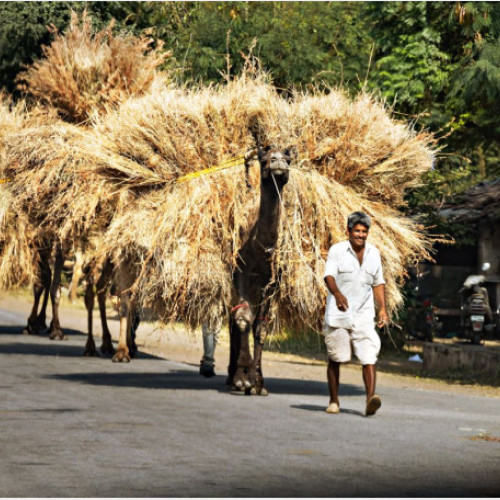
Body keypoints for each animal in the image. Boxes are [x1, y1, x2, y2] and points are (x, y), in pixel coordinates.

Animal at [228, 144, 292, 394]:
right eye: (265, 159)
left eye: (289, 159)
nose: (278, 162)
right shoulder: (241, 273)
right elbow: (243, 319)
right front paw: (242, 380)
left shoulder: (273, 282)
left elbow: (261, 328)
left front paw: (257, 383)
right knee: (233, 319)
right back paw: (231, 376)